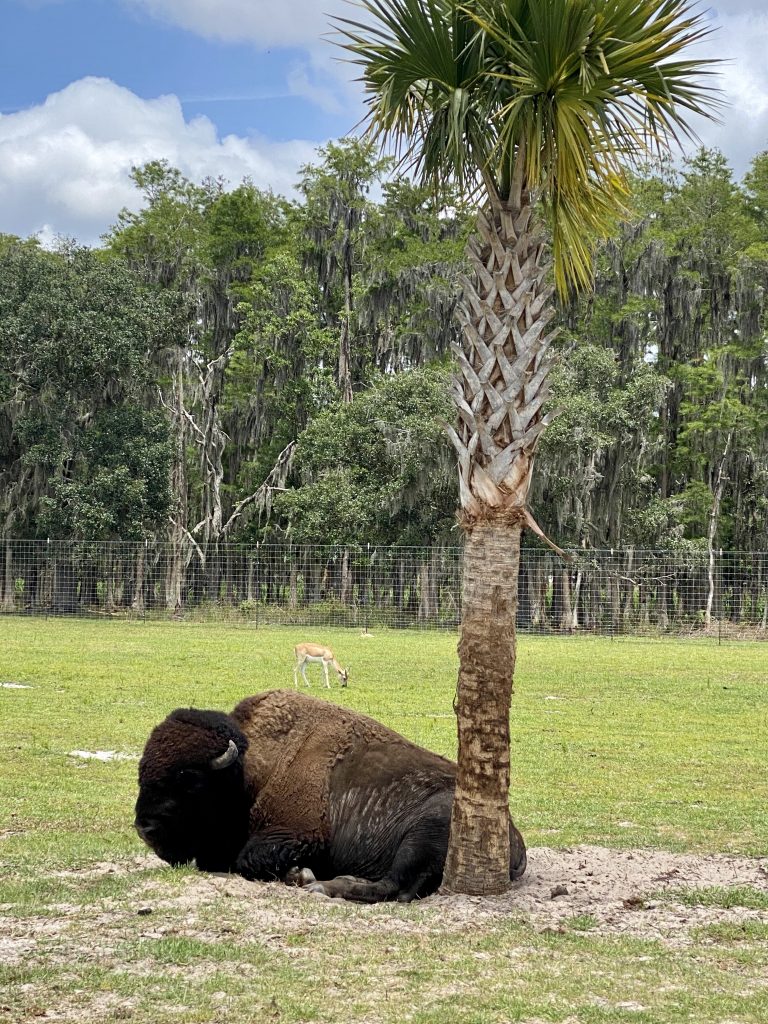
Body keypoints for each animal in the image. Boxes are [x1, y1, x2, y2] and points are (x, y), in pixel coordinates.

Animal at [135, 688, 528, 905]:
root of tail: (513, 837)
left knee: (392, 887)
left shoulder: (296, 835)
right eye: (142, 771)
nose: (144, 827)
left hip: (424, 832)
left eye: (189, 779)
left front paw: (297, 873)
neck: (253, 768)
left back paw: (319, 886)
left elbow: (248, 859)